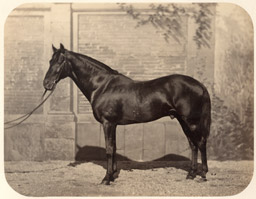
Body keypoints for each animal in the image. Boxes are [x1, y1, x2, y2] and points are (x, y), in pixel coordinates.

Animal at [44, 43, 211, 185]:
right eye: (50, 61)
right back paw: (191, 174)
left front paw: (106, 179)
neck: (102, 86)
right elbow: (114, 147)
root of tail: (200, 85)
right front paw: (113, 175)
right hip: (183, 121)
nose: (46, 84)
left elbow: (109, 149)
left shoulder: (108, 123)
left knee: (201, 143)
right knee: (193, 145)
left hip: (191, 121)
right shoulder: (113, 124)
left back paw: (203, 174)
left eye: (60, 61)